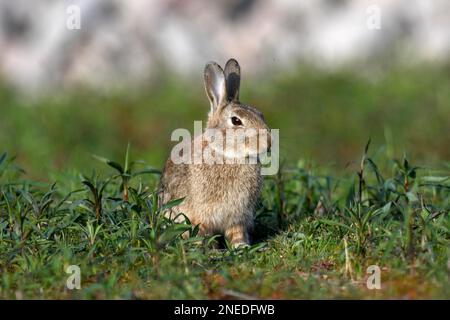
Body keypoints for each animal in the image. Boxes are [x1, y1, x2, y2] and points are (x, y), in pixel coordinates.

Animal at [159, 58, 270, 248]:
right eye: (236, 121)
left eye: (260, 114)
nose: (269, 143)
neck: (226, 154)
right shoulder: (200, 216)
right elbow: (200, 232)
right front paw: (206, 249)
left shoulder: (238, 218)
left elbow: (236, 233)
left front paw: (241, 246)